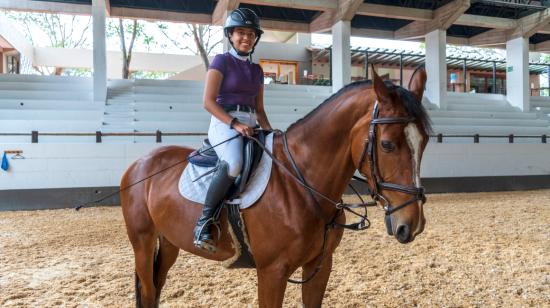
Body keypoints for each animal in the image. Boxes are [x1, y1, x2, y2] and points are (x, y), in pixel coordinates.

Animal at [122, 68, 436, 306]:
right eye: (387, 144)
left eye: (424, 142)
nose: (412, 224)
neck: (302, 183)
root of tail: (139, 164)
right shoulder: (272, 272)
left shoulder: (320, 266)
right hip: (143, 242)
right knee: (148, 291)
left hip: (170, 241)